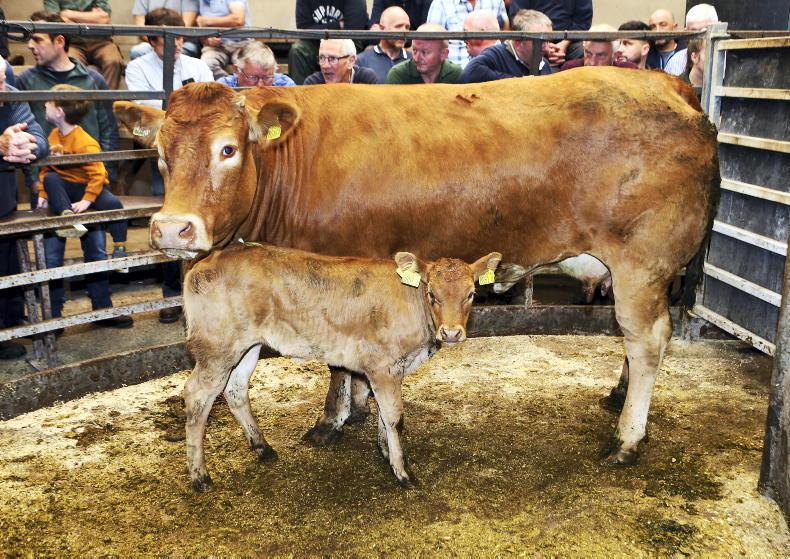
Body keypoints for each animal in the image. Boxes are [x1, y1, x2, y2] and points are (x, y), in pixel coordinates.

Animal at [182, 242, 503, 490]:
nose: (451, 333)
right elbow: (394, 417)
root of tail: (204, 262)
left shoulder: (390, 369)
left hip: (247, 346)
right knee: (196, 396)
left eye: (471, 294)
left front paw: (385, 452)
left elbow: (384, 416)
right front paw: (403, 473)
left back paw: (263, 448)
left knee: (235, 389)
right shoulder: (383, 365)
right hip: (216, 347)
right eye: (432, 294)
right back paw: (200, 477)